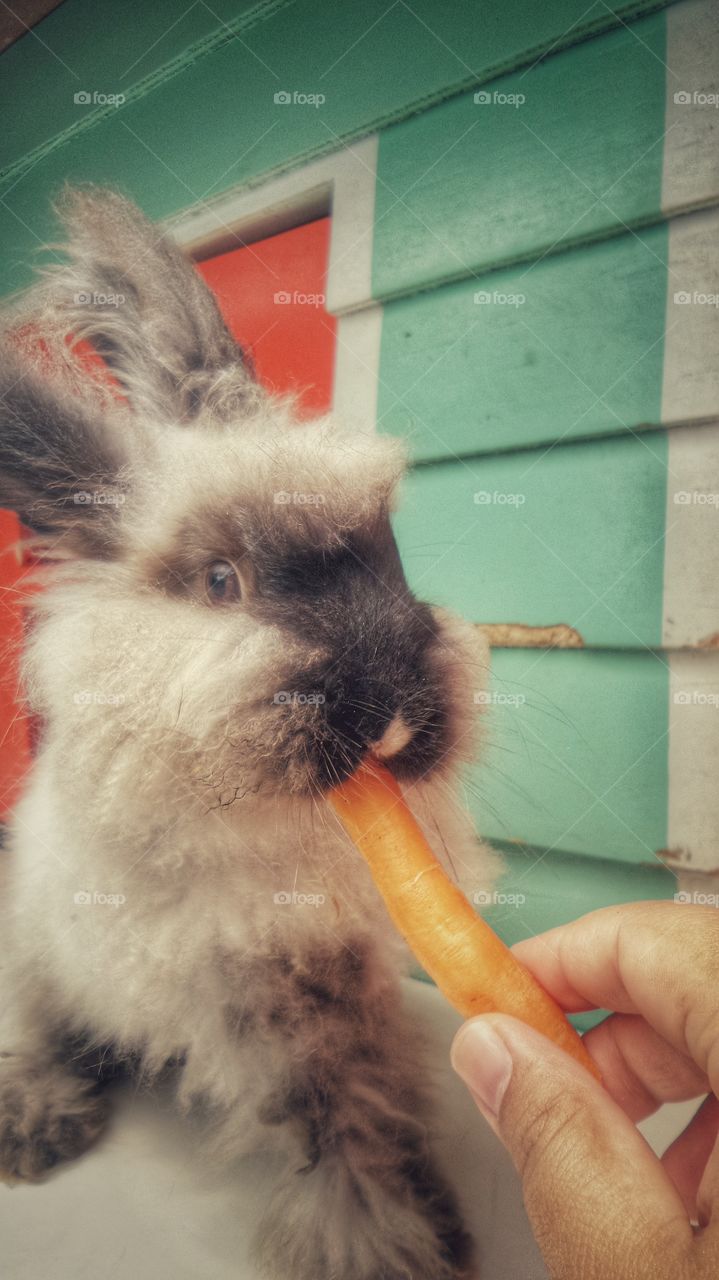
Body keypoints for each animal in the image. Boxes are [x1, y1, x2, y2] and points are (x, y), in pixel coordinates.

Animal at [0, 186, 498, 1280]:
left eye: (390, 551)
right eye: (222, 581)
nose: (389, 695)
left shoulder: (328, 985)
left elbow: (358, 1097)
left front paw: (409, 1228)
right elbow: (323, 1111)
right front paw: (379, 1249)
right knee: (38, 1029)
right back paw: (35, 1126)